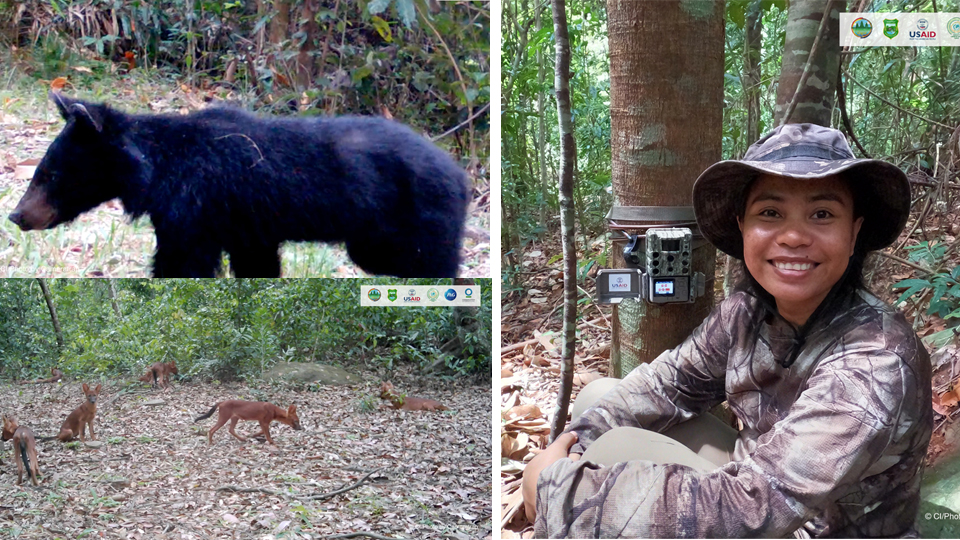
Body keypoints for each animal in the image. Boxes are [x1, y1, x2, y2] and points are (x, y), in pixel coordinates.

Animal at [6, 92, 472, 276]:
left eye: (50, 175)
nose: (16, 215)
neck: (155, 169)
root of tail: (460, 174)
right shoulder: (246, 226)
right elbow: (257, 264)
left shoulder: (195, 209)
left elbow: (182, 262)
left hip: (414, 222)